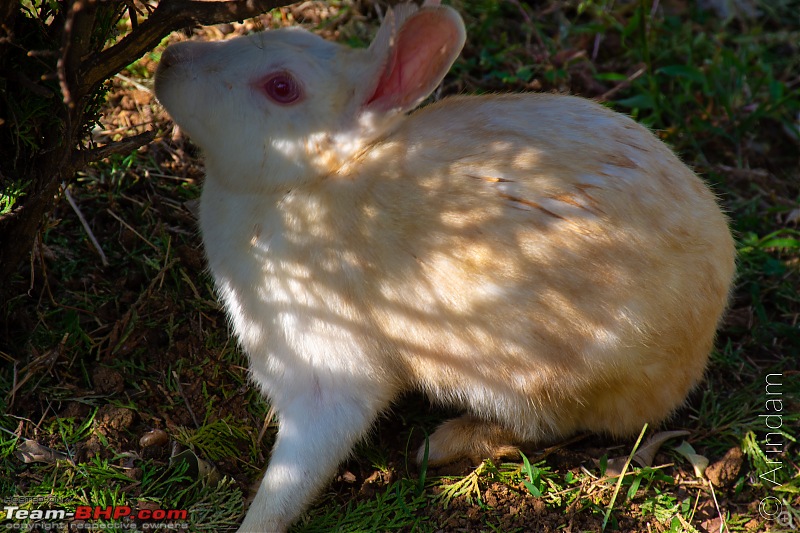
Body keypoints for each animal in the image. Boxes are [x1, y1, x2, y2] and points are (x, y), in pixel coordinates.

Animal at [153, 2, 736, 528]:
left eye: (281, 87)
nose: (169, 60)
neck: (311, 180)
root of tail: (696, 347)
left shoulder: (328, 365)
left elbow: (298, 466)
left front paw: (257, 522)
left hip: (533, 376)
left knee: (545, 426)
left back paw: (444, 443)